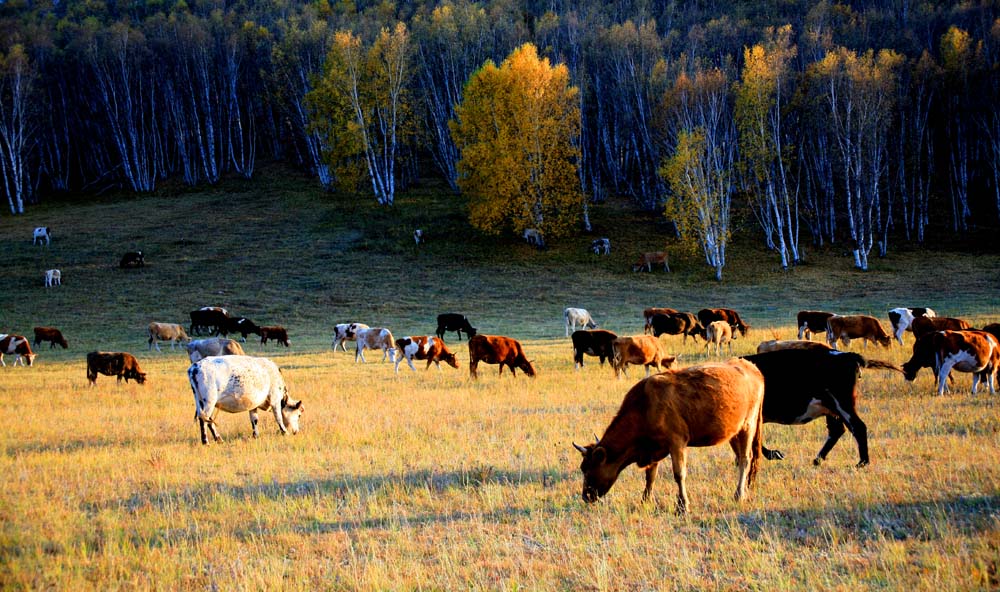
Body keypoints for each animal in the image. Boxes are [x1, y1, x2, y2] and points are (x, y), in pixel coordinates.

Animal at [572, 356, 764, 512]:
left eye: (587, 469)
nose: (585, 496)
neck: (645, 406)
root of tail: (752, 367)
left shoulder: (677, 442)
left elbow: (679, 474)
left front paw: (682, 506)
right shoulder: (654, 448)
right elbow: (650, 476)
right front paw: (645, 500)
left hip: (748, 425)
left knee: (745, 459)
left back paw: (739, 495)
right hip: (735, 432)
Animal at [744, 346, 900, 468]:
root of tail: (846, 355)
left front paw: (774, 454)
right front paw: (774, 454)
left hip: (842, 404)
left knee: (858, 427)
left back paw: (862, 462)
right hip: (832, 409)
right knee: (837, 431)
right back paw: (818, 459)